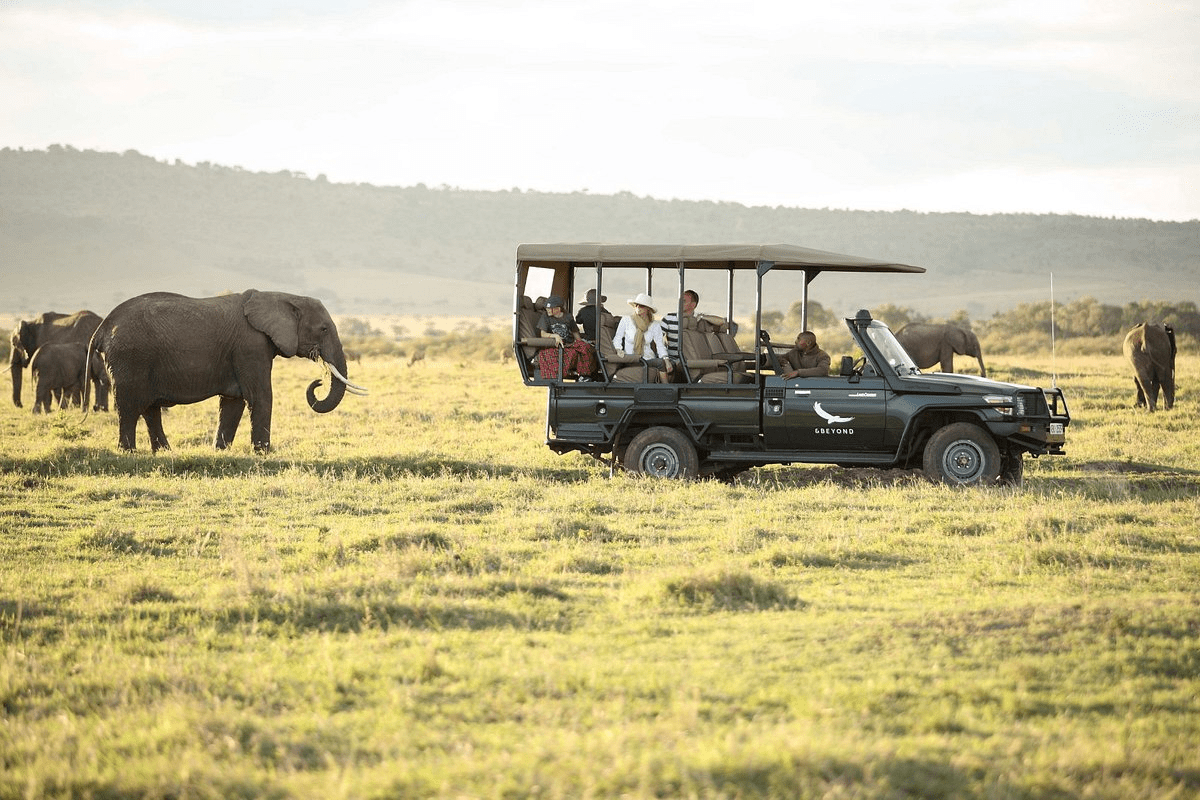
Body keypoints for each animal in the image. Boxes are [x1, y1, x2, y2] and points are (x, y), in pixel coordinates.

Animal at [87, 287, 364, 453]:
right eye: (324, 329)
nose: (318, 381)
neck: (281, 296)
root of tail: (101, 328)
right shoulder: (250, 346)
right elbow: (261, 396)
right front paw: (263, 453)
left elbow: (232, 402)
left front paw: (220, 451)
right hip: (130, 358)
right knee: (129, 407)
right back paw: (129, 452)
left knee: (149, 409)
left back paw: (164, 452)